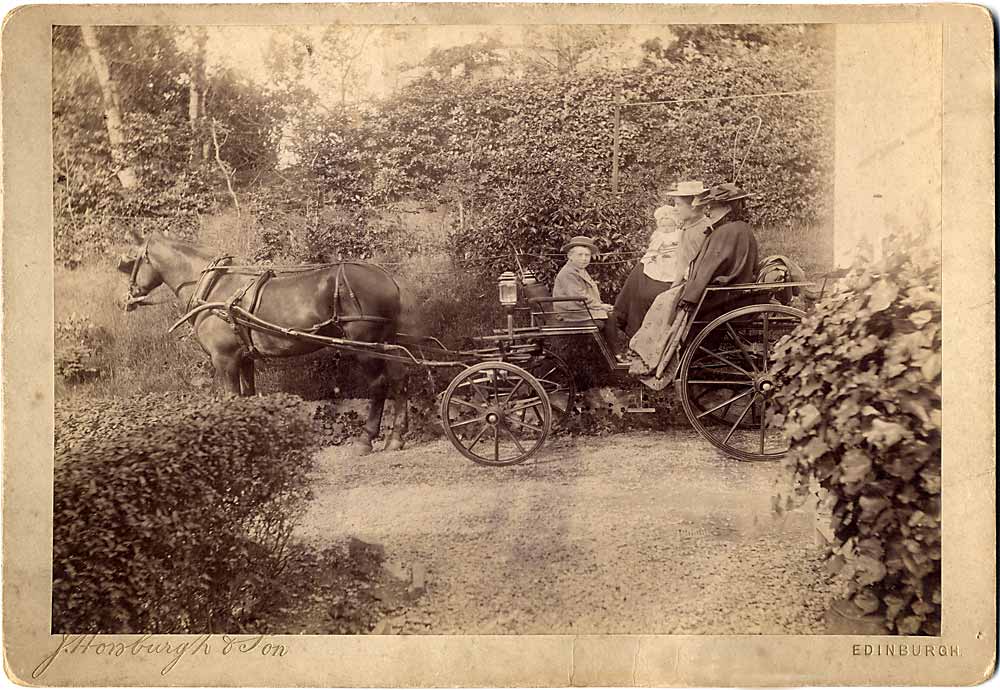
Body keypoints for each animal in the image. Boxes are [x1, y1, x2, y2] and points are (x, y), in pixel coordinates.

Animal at [119, 228, 408, 454]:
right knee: (398, 379)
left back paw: (366, 439)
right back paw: (396, 438)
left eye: (129, 261)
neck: (214, 287)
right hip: (386, 344)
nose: (128, 298)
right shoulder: (245, 358)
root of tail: (388, 279)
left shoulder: (224, 360)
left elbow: (233, 398)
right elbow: (248, 398)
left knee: (379, 385)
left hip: (364, 347)